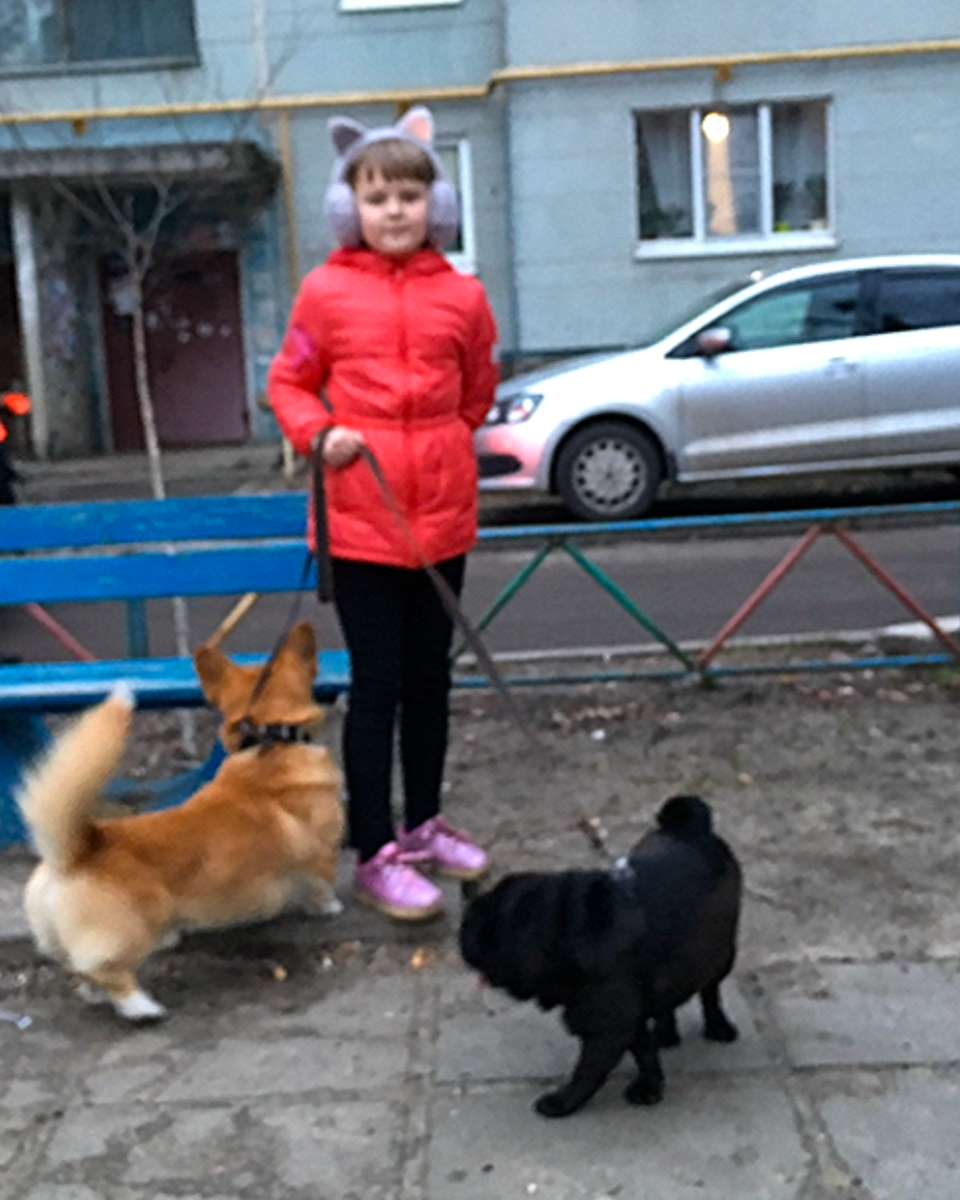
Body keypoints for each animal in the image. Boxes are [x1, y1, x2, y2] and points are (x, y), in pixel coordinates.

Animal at [17, 621, 344, 1022]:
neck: (269, 741)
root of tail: (77, 850)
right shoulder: (322, 855)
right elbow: (321, 886)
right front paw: (329, 908)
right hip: (136, 928)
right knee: (105, 971)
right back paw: (141, 1007)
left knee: (78, 970)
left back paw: (97, 996)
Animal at [459, 795, 741, 1117]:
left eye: (484, 928)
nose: (463, 929)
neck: (565, 930)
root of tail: (688, 827)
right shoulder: (623, 1018)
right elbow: (643, 1051)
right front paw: (651, 1085)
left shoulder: (607, 1026)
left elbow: (587, 1072)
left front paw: (562, 1101)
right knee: (667, 1002)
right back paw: (666, 1033)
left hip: (721, 954)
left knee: (710, 990)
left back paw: (718, 1027)